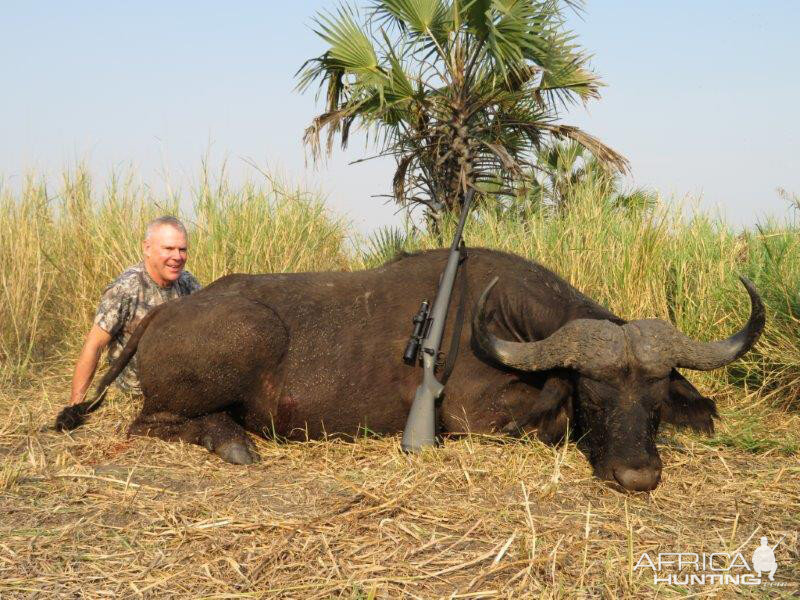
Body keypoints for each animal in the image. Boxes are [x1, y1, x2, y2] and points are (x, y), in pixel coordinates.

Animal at [56, 246, 764, 490]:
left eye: (655, 398)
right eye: (594, 391)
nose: (638, 475)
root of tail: (161, 319)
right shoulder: (472, 415)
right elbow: (547, 421)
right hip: (244, 340)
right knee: (149, 422)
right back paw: (232, 441)